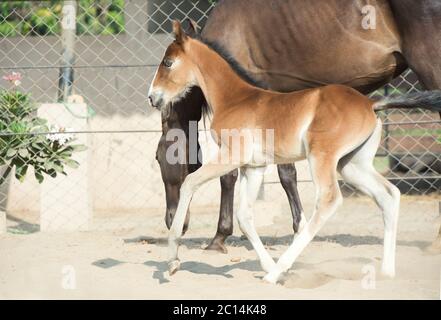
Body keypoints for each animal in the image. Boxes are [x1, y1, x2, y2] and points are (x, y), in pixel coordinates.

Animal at [149, 21, 440, 284]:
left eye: (168, 62)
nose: (153, 97)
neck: (235, 99)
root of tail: (371, 103)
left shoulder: (232, 156)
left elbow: (190, 182)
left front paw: (173, 261)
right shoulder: (254, 167)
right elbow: (245, 216)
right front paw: (267, 265)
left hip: (321, 158)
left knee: (329, 200)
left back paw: (278, 271)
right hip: (352, 164)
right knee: (389, 195)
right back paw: (387, 272)